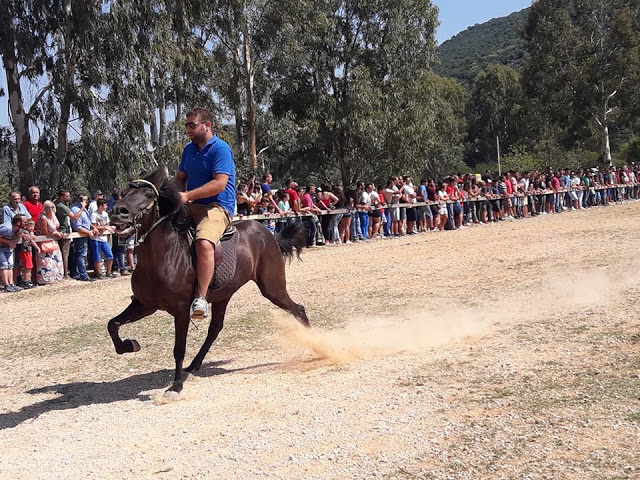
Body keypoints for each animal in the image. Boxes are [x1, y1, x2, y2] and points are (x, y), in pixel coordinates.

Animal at [107, 167, 310, 396]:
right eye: (124, 193)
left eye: (149, 195)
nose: (118, 211)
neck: (162, 258)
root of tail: (268, 232)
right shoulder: (145, 304)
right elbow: (112, 324)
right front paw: (129, 345)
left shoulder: (180, 310)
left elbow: (179, 349)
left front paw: (176, 386)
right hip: (224, 295)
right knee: (215, 329)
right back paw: (194, 365)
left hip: (272, 288)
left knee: (298, 309)